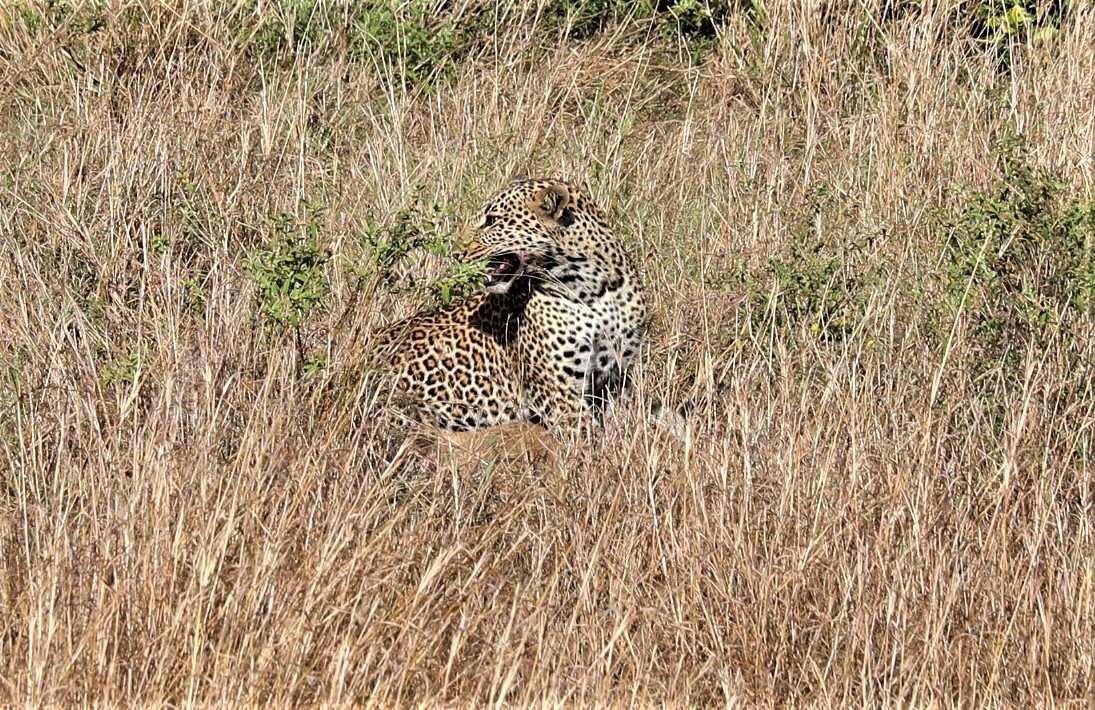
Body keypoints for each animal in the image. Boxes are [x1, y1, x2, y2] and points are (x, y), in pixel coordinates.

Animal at [374, 178, 643, 431]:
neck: (593, 290)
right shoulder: (558, 392)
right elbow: (584, 437)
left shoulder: (616, 377)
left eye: (492, 220)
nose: (457, 253)